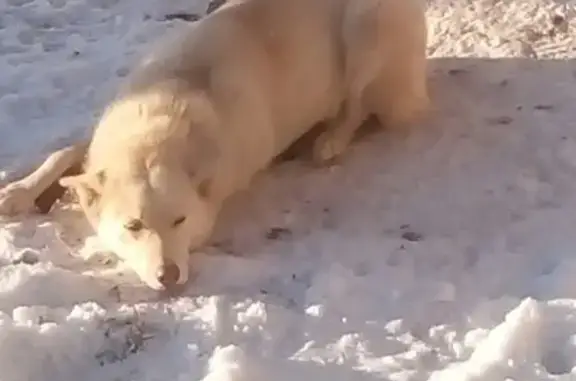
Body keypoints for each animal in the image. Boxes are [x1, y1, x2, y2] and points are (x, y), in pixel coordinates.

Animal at [0, 0, 428, 290]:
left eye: (180, 221)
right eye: (134, 226)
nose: (169, 276)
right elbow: (66, 152)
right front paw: (18, 190)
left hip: (366, 31)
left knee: (357, 105)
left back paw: (331, 139)